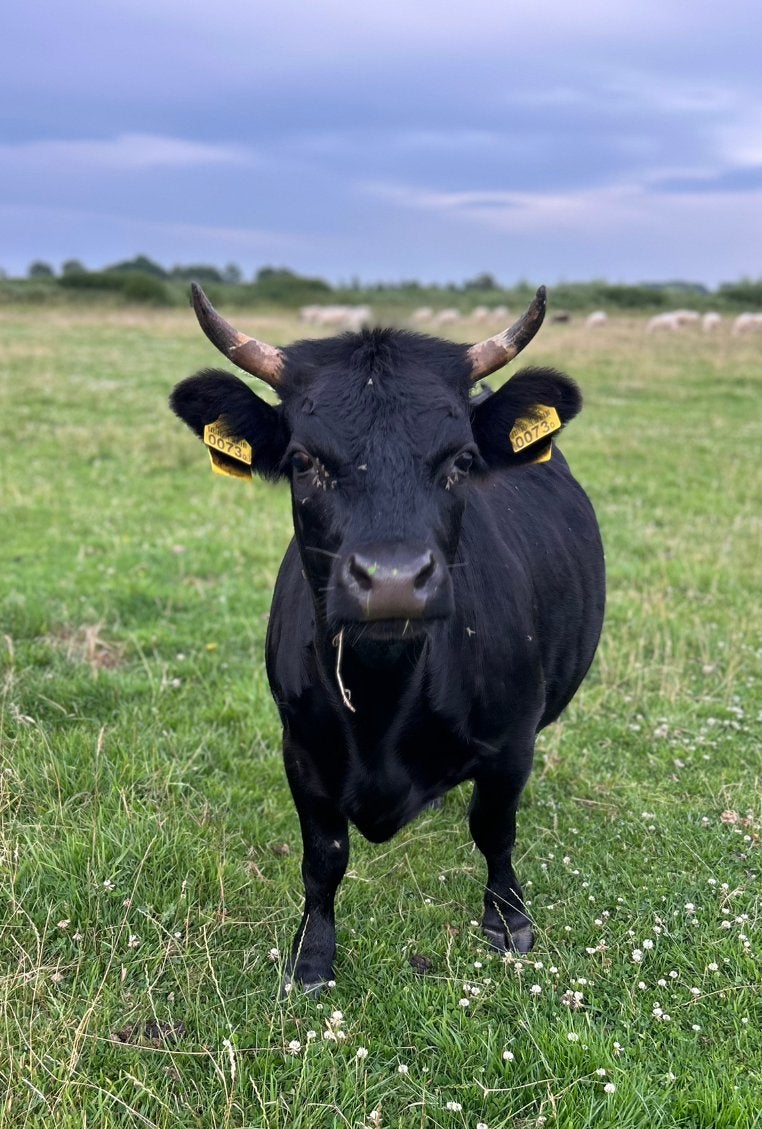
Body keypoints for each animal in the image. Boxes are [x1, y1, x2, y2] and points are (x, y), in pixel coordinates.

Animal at [170, 283, 606, 993]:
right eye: (303, 461)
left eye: (461, 461)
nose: (395, 581)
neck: (383, 700)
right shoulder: (300, 747)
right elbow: (323, 855)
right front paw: (312, 956)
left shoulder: (513, 741)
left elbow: (495, 829)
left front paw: (508, 920)